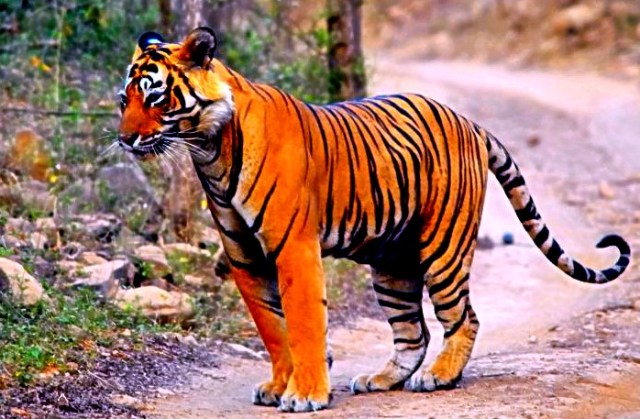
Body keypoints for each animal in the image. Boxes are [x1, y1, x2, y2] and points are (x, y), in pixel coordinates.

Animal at [116, 27, 631, 412]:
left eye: (156, 97)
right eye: (125, 100)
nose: (124, 139)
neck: (209, 150)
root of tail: (469, 122)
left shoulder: (294, 246)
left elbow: (303, 322)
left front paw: (306, 394)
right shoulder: (244, 256)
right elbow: (272, 327)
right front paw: (280, 384)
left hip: (445, 247)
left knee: (464, 318)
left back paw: (439, 377)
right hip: (393, 264)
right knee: (413, 332)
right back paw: (381, 379)